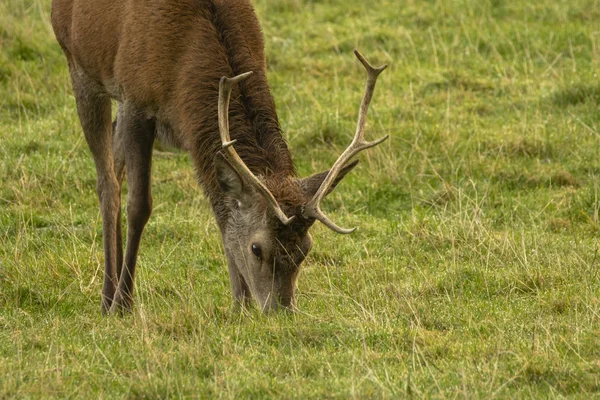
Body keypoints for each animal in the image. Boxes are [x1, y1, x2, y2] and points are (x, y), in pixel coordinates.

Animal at [51, 0, 390, 312]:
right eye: (256, 248)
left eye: (305, 249)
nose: (281, 309)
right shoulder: (136, 100)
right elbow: (140, 206)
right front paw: (124, 303)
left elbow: (222, 214)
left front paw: (240, 304)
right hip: (79, 66)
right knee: (107, 183)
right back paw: (109, 296)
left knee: (115, 157)